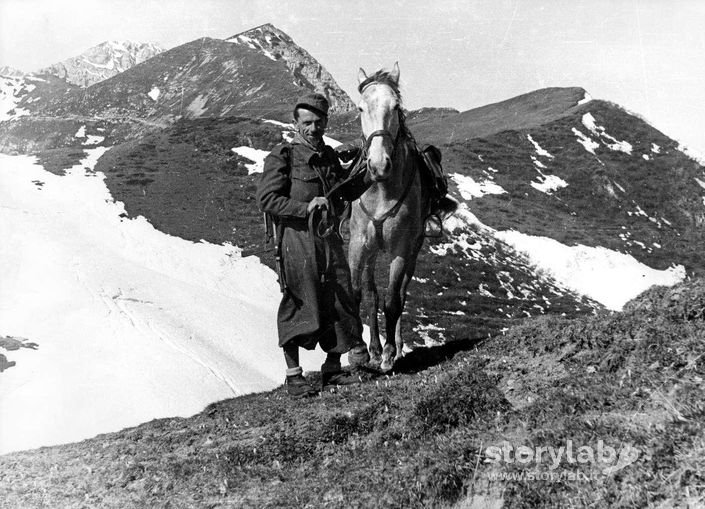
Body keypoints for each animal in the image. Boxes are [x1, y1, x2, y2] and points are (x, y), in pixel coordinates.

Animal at [346, 64, 428, 374]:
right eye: (360, 108)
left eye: (396, 107)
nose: (379, 165)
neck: (380, 190)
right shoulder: (358, 246)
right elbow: (359, 294)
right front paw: (360, 351)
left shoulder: (400, 251)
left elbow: (393, 300)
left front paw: (389, 354)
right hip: (371, 253)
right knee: (372, 296)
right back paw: (373, 349)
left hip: (413, 252)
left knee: (401, 294)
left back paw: (395, 347)